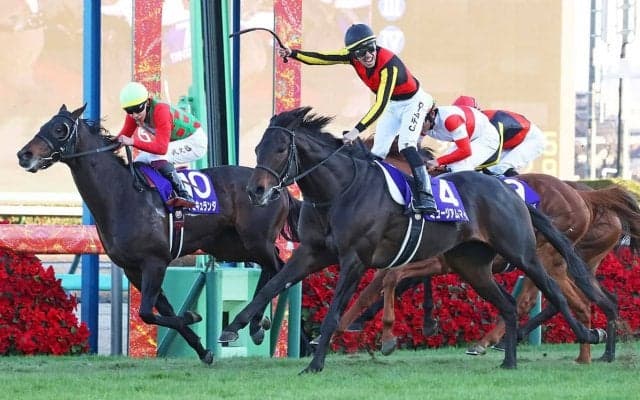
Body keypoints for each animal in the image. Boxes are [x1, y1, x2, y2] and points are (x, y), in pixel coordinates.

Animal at [16, 104, 301, 363]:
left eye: (60, 129)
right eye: (44, 125)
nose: (24, 154)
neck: (121, 194)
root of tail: (278, 186)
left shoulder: (154, 261)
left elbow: (147, 313)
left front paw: (192, 317)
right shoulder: (132, 268)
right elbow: (163, 309)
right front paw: (202, 347)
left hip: (256, 240)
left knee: (279, 267)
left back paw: (255, 325)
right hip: (230, 245)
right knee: (271, 267)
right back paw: (253, 326)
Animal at [337, 174, 640, 362]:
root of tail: (586, 199)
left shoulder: (432, 259)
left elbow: (380, 282)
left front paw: (346, 326)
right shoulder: (433, 260)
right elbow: (388, 281)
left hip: (546, 256)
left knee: (542, 298)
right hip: (578, 260)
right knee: (592, 297)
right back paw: (594, 350)